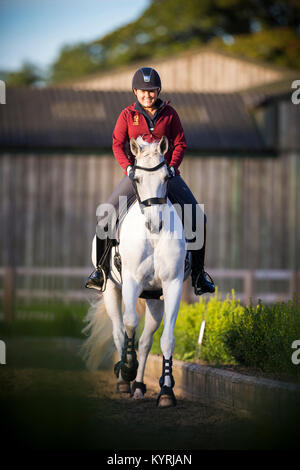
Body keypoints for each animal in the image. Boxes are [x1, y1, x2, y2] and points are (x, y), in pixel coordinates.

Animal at [82, 136, 190, 408]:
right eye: (137, 179)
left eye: (166, 178)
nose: (154, 224)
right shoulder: (131, 281)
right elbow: (129, 323)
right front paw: (127, 368)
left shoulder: (172, 284)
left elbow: (167, 339)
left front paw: (166, 392)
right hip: (111, 290)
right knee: (119, 332)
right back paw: (124, 380)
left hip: (155, 299)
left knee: (145, 341)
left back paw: (140, 386)